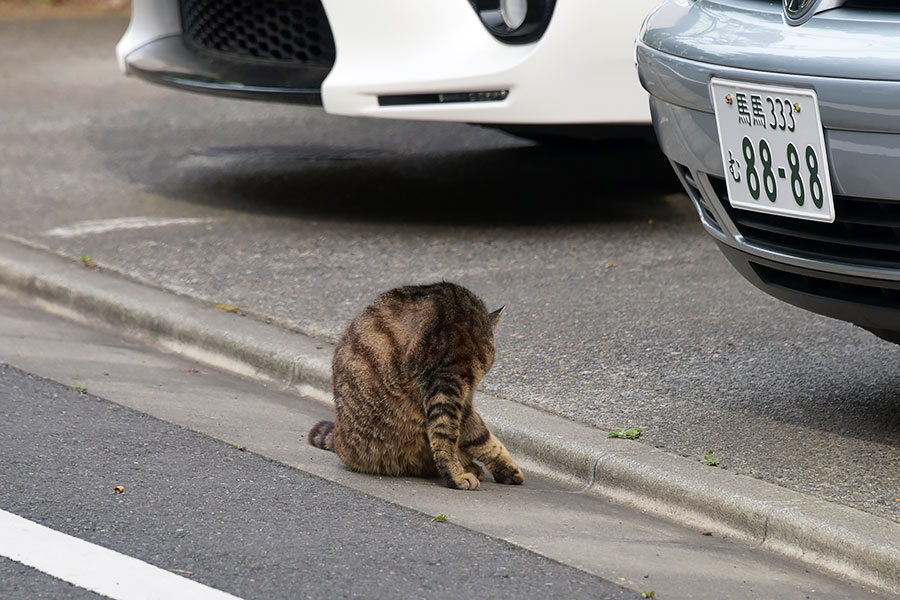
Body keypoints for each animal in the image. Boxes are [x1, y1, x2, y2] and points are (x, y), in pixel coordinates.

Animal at [308, 282, 524, 492]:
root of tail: (340, 443)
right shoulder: (446, 385)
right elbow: (457, 437)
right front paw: (457, 476)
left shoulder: (462, 398)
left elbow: (478, 436)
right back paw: (468, 468)